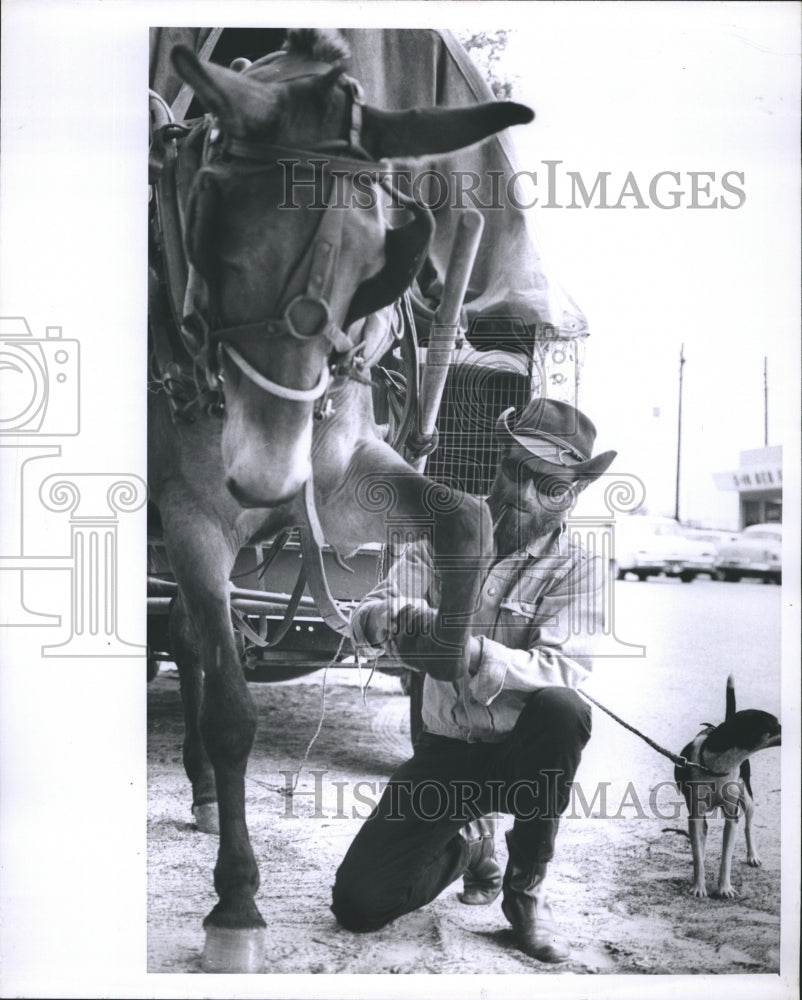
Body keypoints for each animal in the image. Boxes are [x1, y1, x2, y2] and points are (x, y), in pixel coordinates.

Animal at [672, 680, 780, 900]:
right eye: (773, 725)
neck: (716, 767)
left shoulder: (732, 817)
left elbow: (726, 858)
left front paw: (724, 888)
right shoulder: (695, 815)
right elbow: (698, 854)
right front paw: (699, 886)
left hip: (747, 799)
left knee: (748, 826)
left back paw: (752, 856)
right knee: (702, 839)